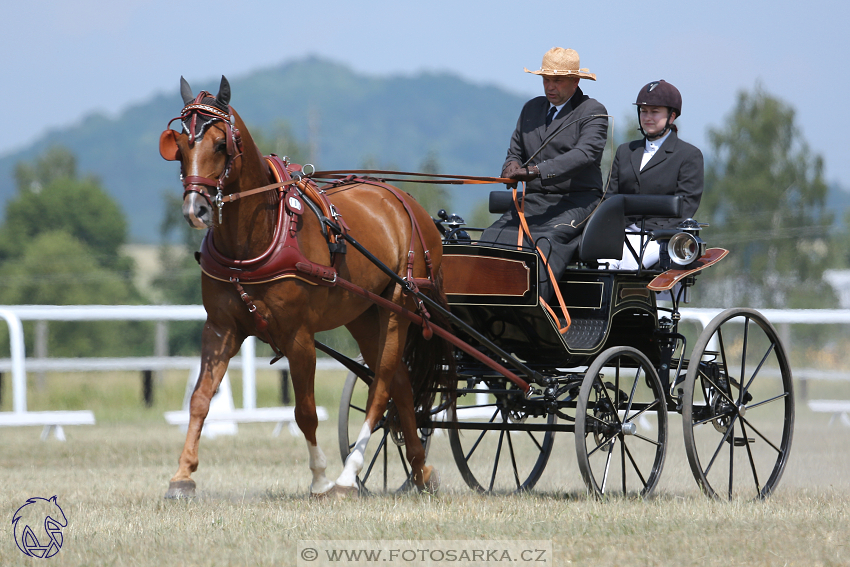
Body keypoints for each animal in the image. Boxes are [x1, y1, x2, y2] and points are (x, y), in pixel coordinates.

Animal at [157, 77, 450, 500]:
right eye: (179, 146)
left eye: (220, 143)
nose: (195, 209)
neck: (258, 236)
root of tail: (407, 203)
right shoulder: (221, 327)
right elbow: (199, 400)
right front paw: (182, 475)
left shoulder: (299, 335)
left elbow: (305, 412)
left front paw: (320, 478)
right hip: (364, 316)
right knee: (402, 386)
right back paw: (422, 471)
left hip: (399, 307)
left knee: (381, 387)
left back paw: (348, 476)